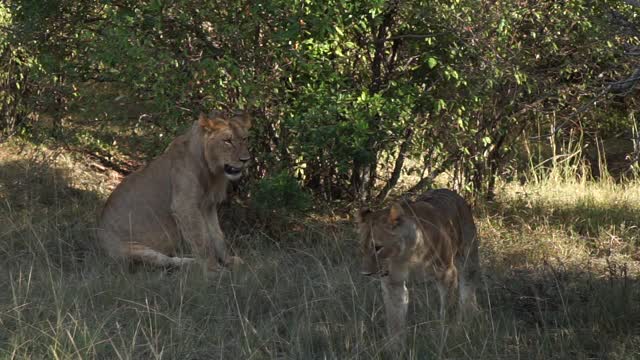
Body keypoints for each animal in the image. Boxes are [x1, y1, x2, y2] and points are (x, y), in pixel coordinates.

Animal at [99, 111, 251, 274]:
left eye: (244, 138)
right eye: (227, 141)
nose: (246, 160)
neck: (212, 172)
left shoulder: (208, 206)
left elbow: (217, 236)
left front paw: (228, 261)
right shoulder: (184, 206)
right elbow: (201, 241)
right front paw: (213, 269)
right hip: (135, 250)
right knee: (168, 262)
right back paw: (193, 263)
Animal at [356, 190, 480, 350]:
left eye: (378, 247)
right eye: (363, 247)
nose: (365, 273)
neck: (406, 256)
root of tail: (451, 192)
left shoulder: (447, 272)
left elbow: (448, 310)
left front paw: (449, 336)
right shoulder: (392, 283)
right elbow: (395, 319)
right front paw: (395, 347)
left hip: (468, 258)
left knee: (468, 289)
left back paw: (469, 317)